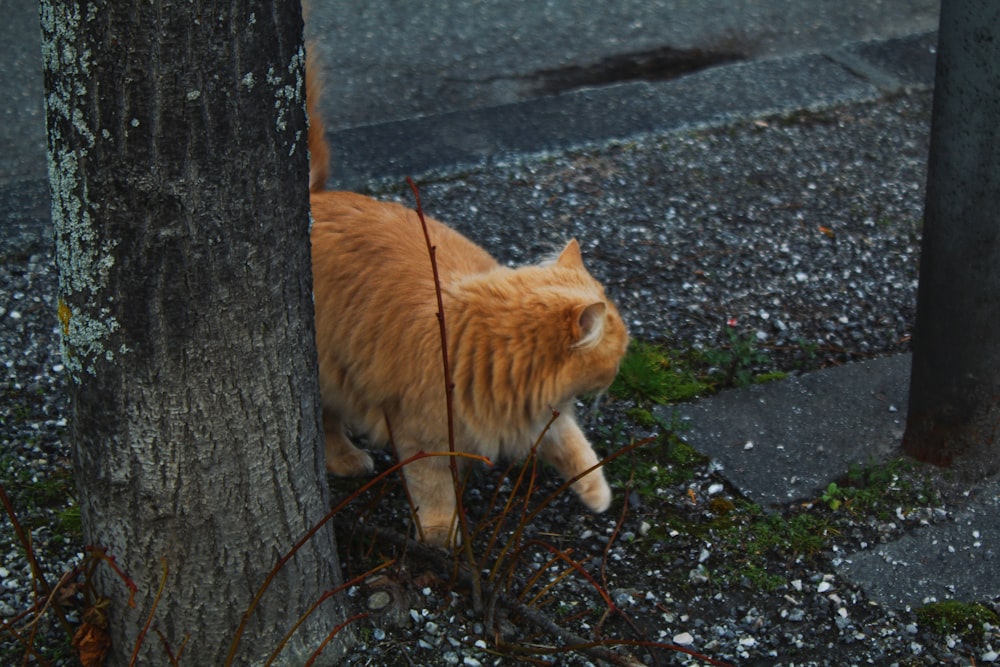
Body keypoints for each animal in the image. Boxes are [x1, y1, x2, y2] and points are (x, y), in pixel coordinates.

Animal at [308, 60, 628, 548]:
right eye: (618, 354)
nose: (617, 375)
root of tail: (311, 200)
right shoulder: (421, 434)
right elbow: (434, 491)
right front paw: (442, 539)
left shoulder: (538, 415)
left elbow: (576, 445)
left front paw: (597, 491)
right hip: (333, 376)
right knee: (327, 424)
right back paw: (348, 459)